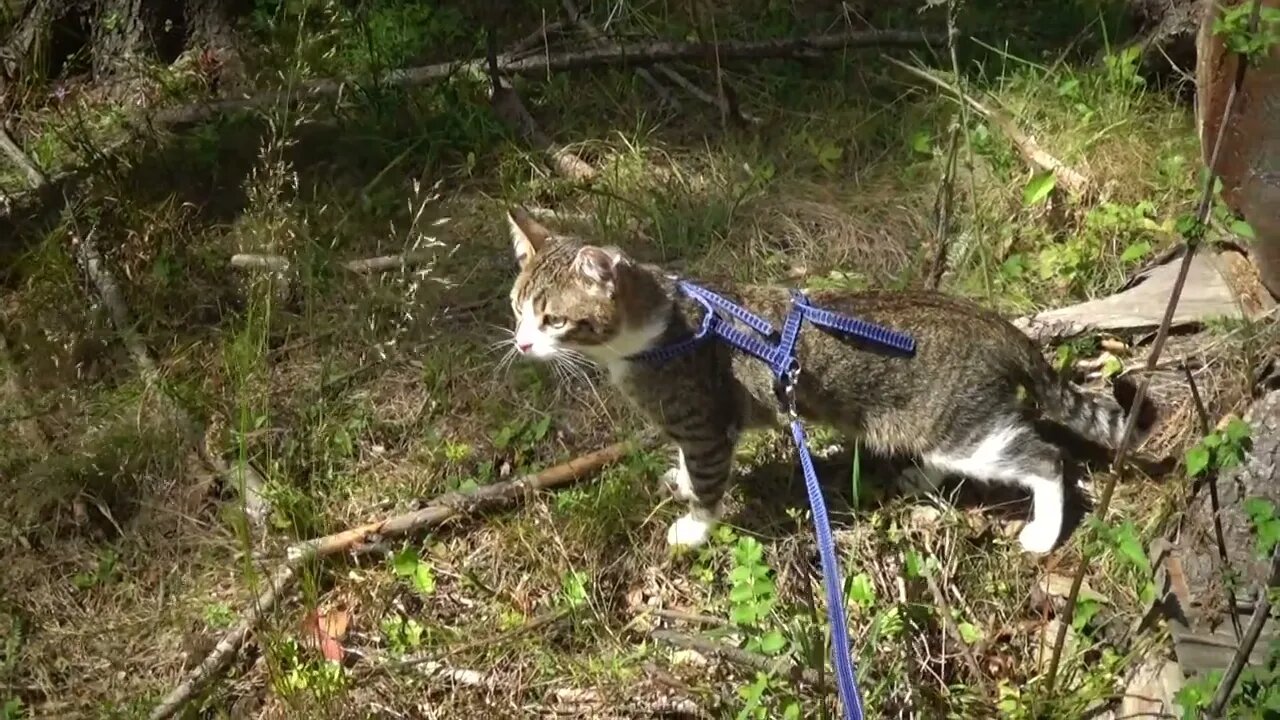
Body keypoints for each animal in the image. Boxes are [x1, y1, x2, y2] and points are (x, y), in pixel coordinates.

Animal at [501, 204, 1162, 550]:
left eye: (554, 318)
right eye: (516, 307)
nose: (522, 342)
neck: (668, 324)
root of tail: (995, 324)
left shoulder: (708, 423)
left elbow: (710, 482)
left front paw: (694, 526)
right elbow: (691, 468)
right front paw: (681, 482)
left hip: (969, 432)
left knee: (1046, 458)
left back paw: (1044, 531)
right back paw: (918, 476)